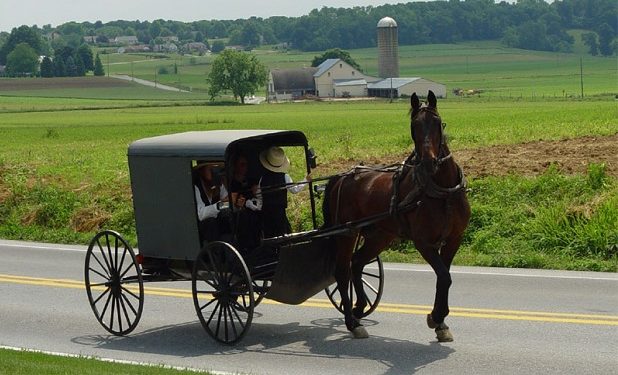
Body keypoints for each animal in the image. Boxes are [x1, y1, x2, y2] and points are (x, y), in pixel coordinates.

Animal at [320, 92, 470, 344]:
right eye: (414, 126)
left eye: (437, 122)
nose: (428, 162)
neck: (442, 191)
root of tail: (342, 176)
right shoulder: (423, 243)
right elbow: (444, 276)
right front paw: (436, 317)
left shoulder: (454, 239)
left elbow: (445, 277)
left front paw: (440, 323)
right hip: (347, 232)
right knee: (342, 271)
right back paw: (352, 322)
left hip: (379, 235)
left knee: (357, 263)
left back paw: (359, 308)